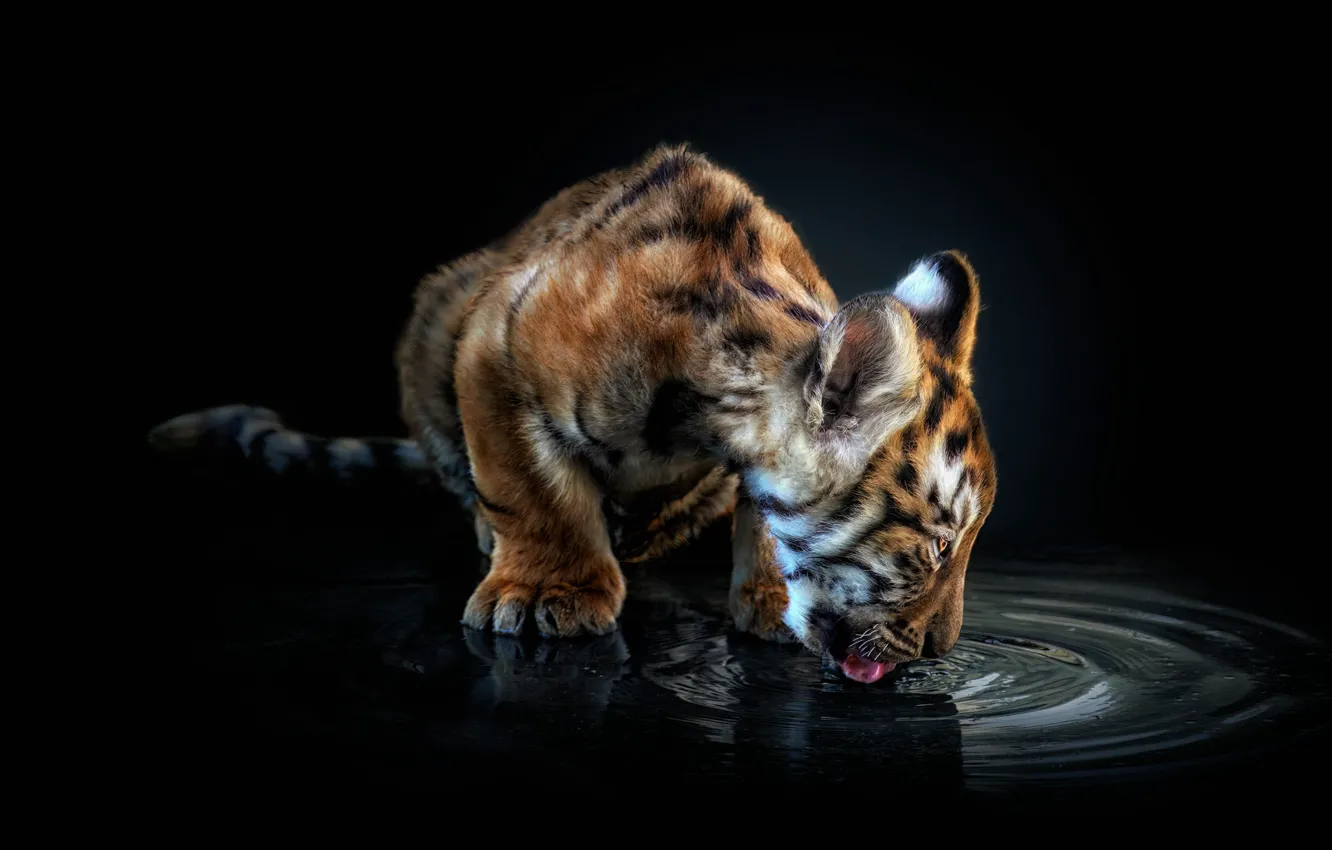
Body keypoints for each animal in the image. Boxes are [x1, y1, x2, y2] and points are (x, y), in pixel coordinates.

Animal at [148, 143, 997, 684]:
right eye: (936, 546)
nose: (936, 652)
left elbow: (761, 517)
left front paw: (768, 598)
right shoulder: (494, 351)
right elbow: (532, 490)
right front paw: (543, 596)